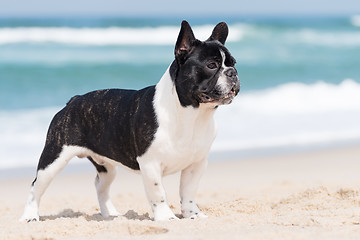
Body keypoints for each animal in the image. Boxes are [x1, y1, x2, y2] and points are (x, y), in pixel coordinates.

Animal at [19, 20, 239, 221]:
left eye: (234, 63)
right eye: (211, 65)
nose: (233, 73)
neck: (191, 114)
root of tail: (73, 100)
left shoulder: (196, 164)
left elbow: (188, 192)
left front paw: (193, 215)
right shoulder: (150, 164)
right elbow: (158, 193)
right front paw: (166, 218)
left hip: (106, 166)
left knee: (100, 185)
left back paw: (110, 214)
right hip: (54, 158)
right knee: (36, 186)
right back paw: (30, 217)